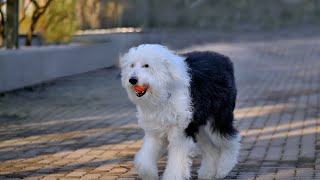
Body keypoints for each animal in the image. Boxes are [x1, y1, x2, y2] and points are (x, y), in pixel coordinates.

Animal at [120, 44, 240, 180]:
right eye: (132, 65)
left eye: (146, 65)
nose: (132, 80)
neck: (164, 92)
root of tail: (225, 60)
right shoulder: (155, 132)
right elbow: (144, 159)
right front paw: (148, 174)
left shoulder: (180, 133)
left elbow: (176, 162)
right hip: (199, 126)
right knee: (212, 149)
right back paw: (207, 173)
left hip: (218, 117)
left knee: (231, 140)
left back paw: (223, 169)